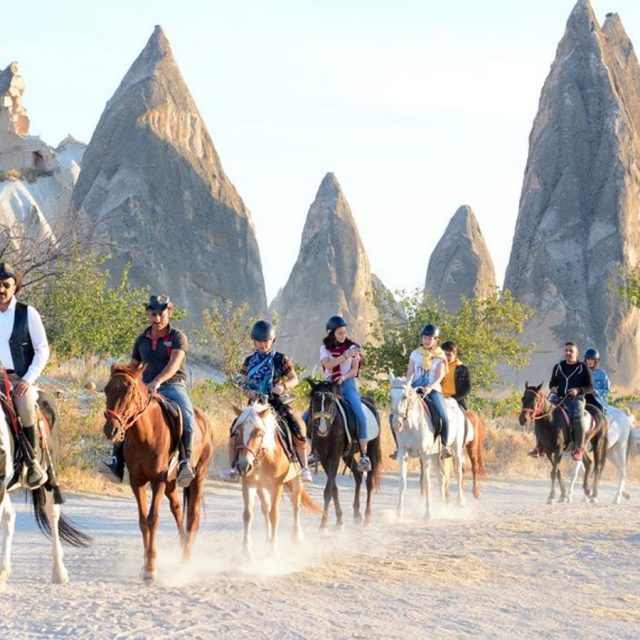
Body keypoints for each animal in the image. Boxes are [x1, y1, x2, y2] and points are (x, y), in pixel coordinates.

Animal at [101, 364, 214, 580]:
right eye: (106, 389)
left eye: (129, 392)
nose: (111, 429)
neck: (145, 434)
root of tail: (205, 420)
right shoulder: (137, 481)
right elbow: (143, 520)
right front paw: (145, 563)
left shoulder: (157, 480)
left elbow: (153, 519)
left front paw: (151, 567)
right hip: (171, 483)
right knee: (177, 509)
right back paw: (181, 547)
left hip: (198, 478)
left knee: (192, 516)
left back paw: (186, 560)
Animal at [230, 400, 320, 560]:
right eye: (237, 432)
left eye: (259, 433)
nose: (243, 465)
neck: (266, 455)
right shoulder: (249, 484)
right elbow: (248, 515)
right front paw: (246, 550)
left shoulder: (277, 485)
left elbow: (274, 515)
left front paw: (273, 549)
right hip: (261, 487)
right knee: (265, 508)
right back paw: (267, 538)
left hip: (296, 480)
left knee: (295, 504)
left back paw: (297, 535)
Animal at [304, 380, 380, 528]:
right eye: (314, 400)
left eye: (331, 401)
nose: (322, 428)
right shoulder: (324, 458)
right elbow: (333, 488)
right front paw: (339, 519)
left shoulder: (334, 456)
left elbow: (328, 490)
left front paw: (324, 524)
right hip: (347, 455)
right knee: (358, 475)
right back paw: (357, 514)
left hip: (372, 448)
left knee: (369, 482)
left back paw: (367, 517)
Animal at [388, 376, 442, 520]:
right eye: (390, 397)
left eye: (405, 397)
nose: (396, 424)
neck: (413, 426)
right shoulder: (403, 454)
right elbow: (402, 482)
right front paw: (399, 513)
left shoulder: (425, 455)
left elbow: (427, 483)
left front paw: (428, 513)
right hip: (435, 456)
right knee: (441, 477)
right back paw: (444, 506)